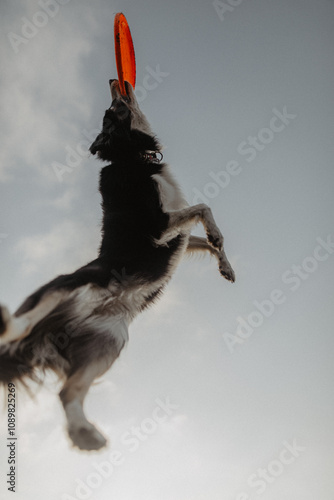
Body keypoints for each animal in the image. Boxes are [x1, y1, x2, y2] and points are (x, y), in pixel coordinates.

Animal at [0, 80, 235, 452]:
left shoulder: (176, 233)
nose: (113, 81)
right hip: (65, 288)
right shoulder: (158, 224)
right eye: (112, 112)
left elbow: (206, 238)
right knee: (21, 327)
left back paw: (85, 434)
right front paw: (216, 236)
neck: (130, 156)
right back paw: (9, 321)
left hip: (106, 345)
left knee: (67, 392)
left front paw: (226, 266)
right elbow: (203, 207)